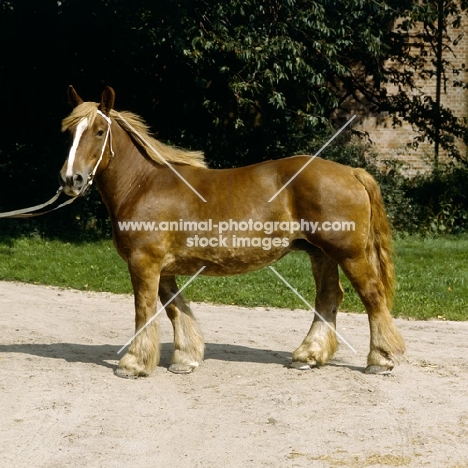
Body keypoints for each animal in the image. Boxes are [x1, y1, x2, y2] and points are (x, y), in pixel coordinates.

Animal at [59, 88, 406, 378]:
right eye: (69, 132)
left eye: (99, 131)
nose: (71, 179)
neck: (143, 185)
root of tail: (352, 172)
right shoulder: (163, 268)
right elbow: (175, 308)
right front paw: (185, 358)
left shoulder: (144, 263)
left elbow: (145, 310)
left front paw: (133, 363)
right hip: (320, 254)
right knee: (328, 298)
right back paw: (308, 355)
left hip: (348, 254)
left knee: (372, 296)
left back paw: (380, 359)